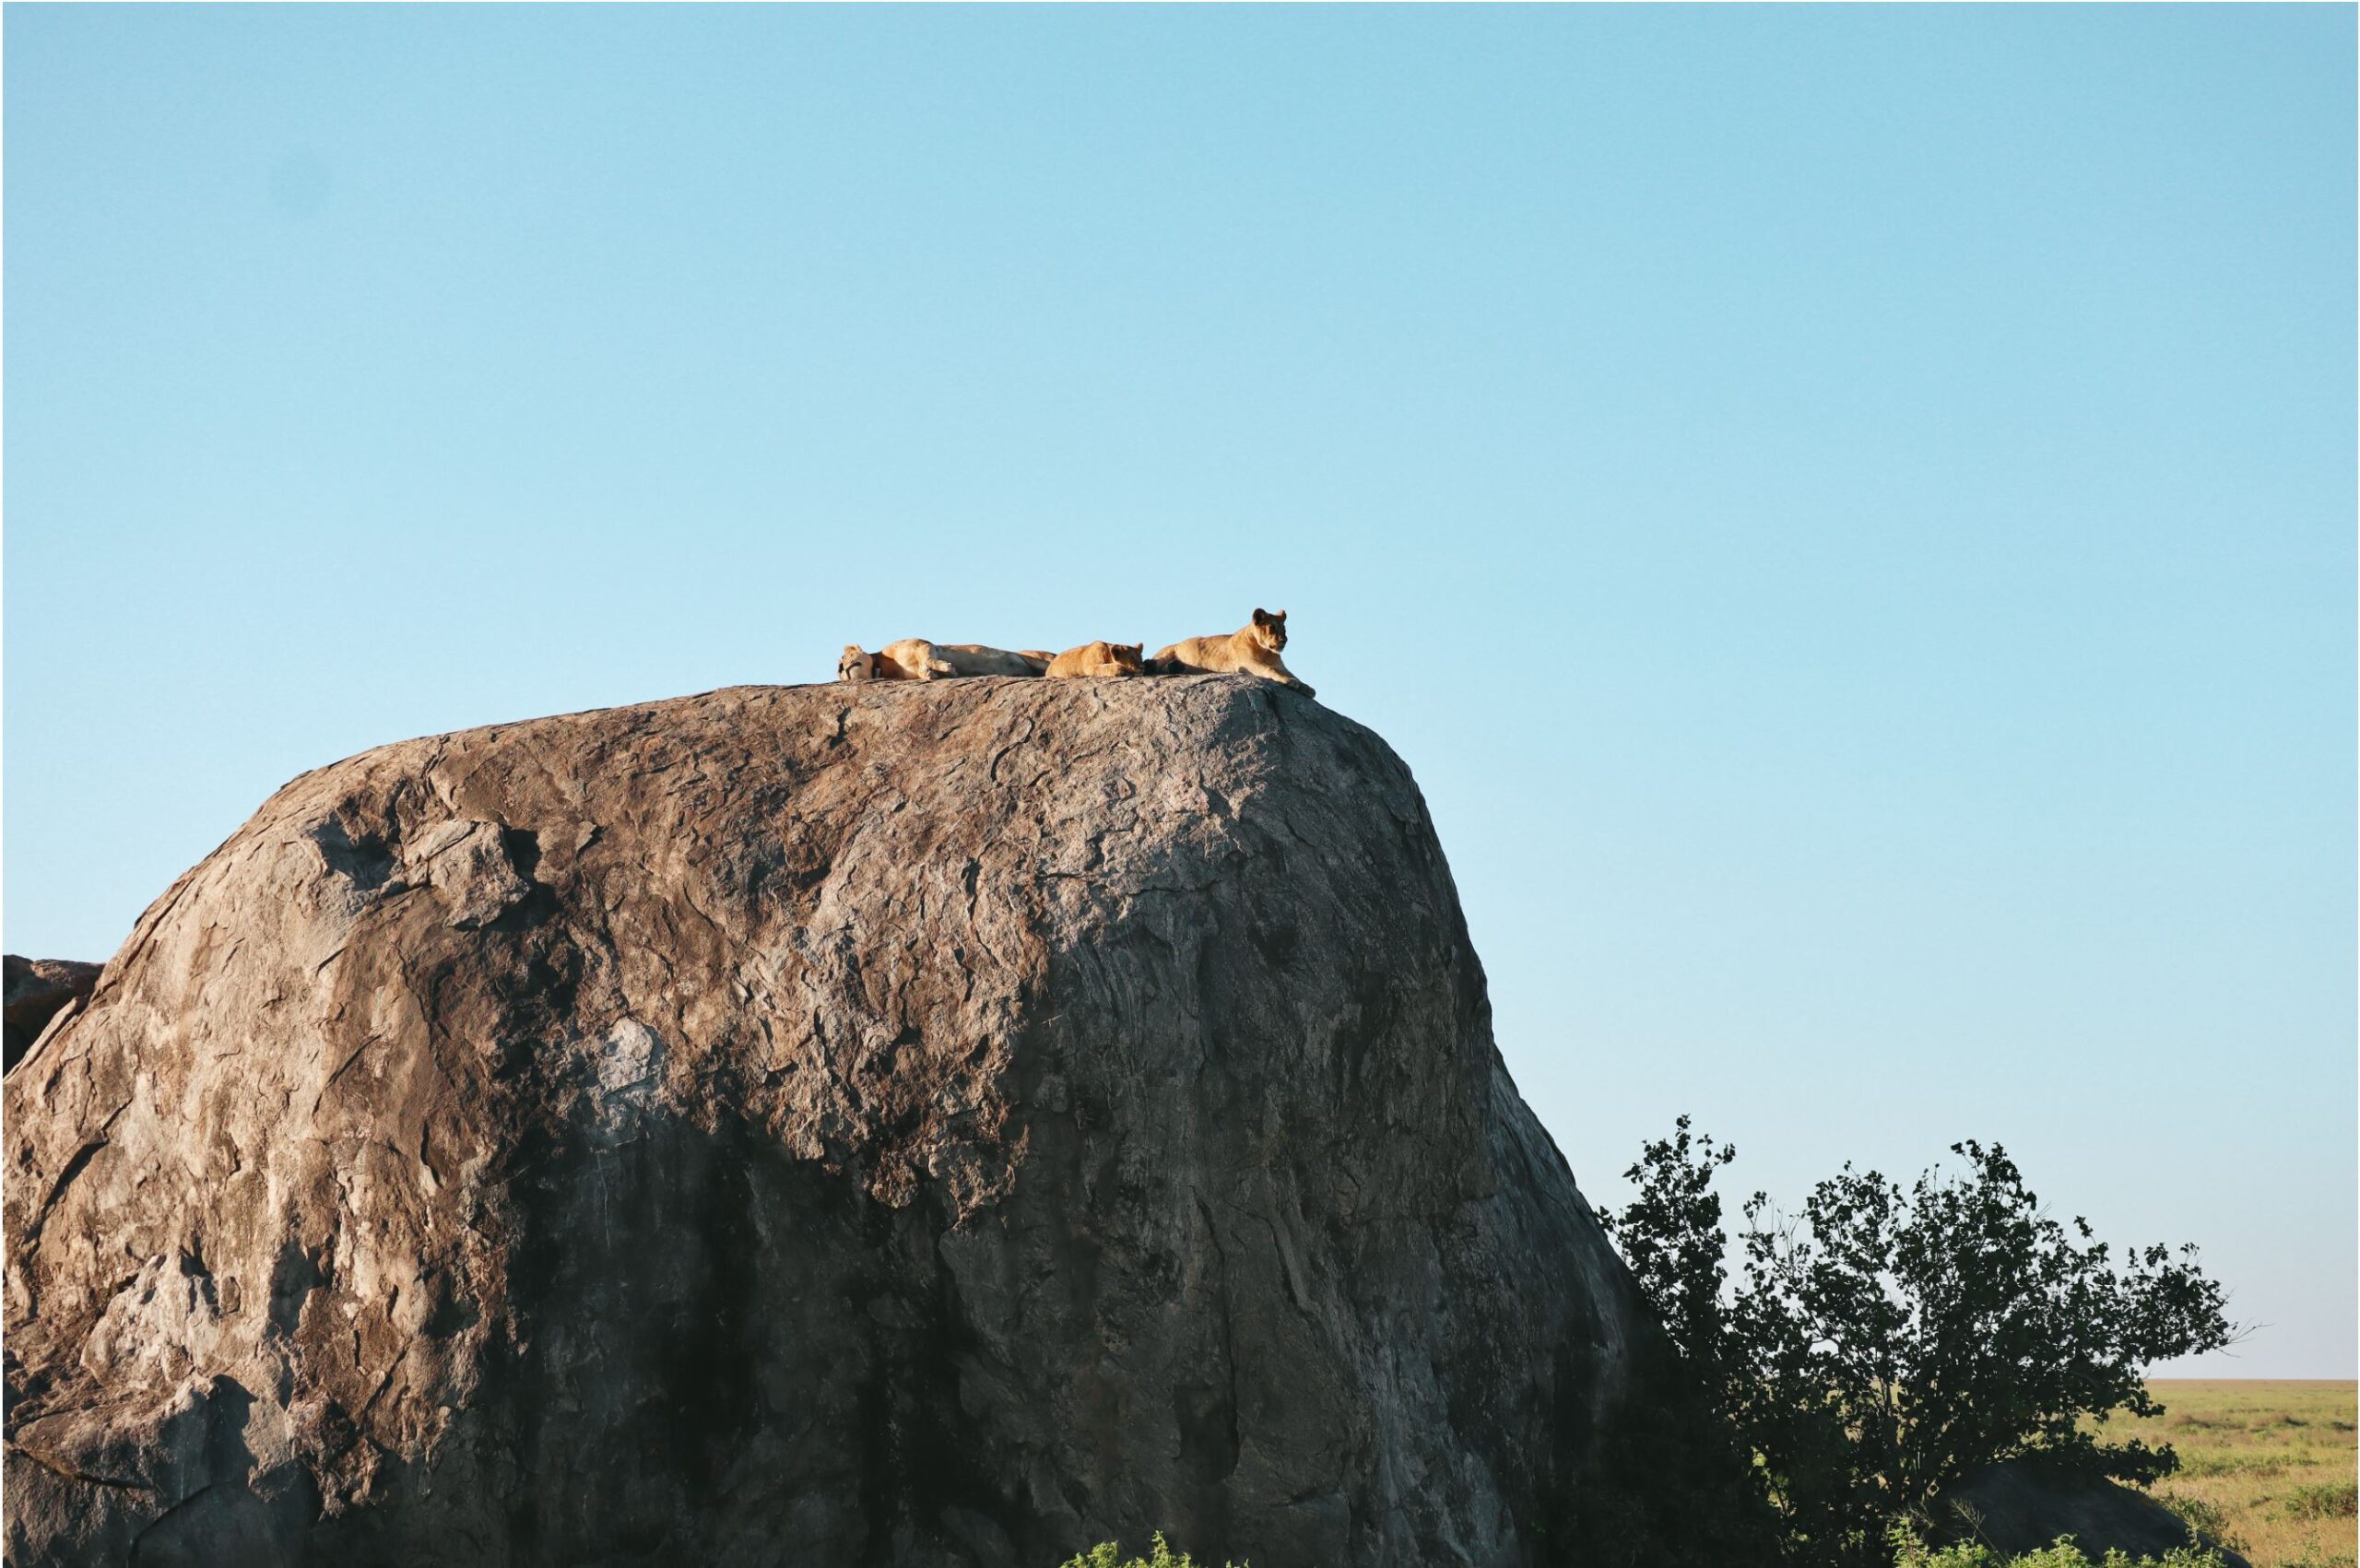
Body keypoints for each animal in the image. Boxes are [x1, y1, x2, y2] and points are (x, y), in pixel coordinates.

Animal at [1152, 609, 1314, 697]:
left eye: (1284, 629)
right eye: (1272, 628)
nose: (1284, 640)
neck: (1266, 652)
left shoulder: (1281, 666)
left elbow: (1295, 676)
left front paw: (1307, 688)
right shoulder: (1248, 663)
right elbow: (1270, 670)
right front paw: (1289, 681)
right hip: (1168, 653)